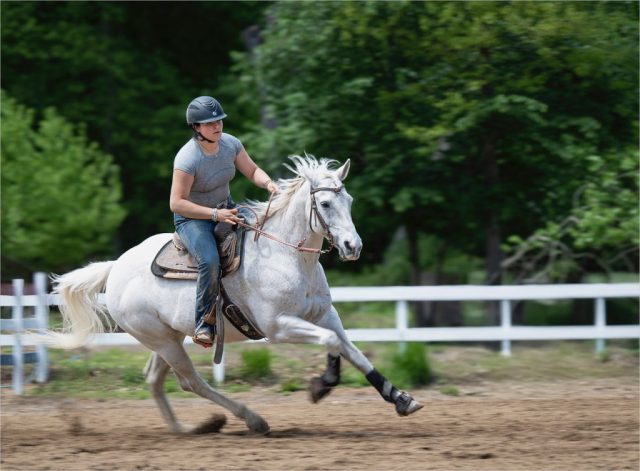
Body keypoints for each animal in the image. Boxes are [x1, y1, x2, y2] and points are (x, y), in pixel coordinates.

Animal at [46, 155, 423, 434]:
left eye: (349, 200)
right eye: (326, 203)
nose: (352, 246)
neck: (289, 257)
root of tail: (116, 268)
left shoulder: (324, 315)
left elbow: (351, 350)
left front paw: (400, 398)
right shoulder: (278, 326)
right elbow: (332, 343)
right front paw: (322, 385)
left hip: (169, 337)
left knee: (155, 380)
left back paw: (189, 428)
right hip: (162, 340)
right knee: (191, 382)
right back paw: (251, 420)